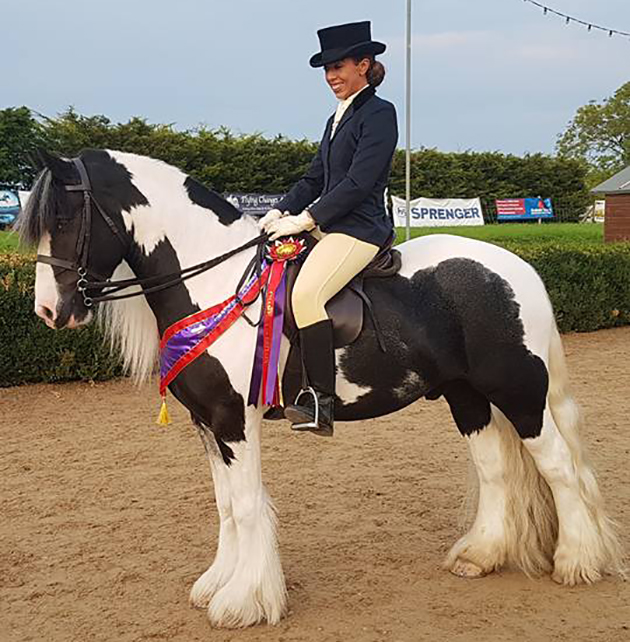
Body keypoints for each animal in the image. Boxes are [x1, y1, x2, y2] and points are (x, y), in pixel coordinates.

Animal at [19, 149, 628, 624]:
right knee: (495, 468)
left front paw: (244, 602)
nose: (49, 312)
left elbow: (246, 505)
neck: (215, 281)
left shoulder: (233, 419)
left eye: (66, 218)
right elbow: (224, 505)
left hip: (520, 395)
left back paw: (576, 563)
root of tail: (516, 267)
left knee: (560, 468)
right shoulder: (207, 422)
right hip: (466, 395)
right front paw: (218, 584)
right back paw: (480, 555)